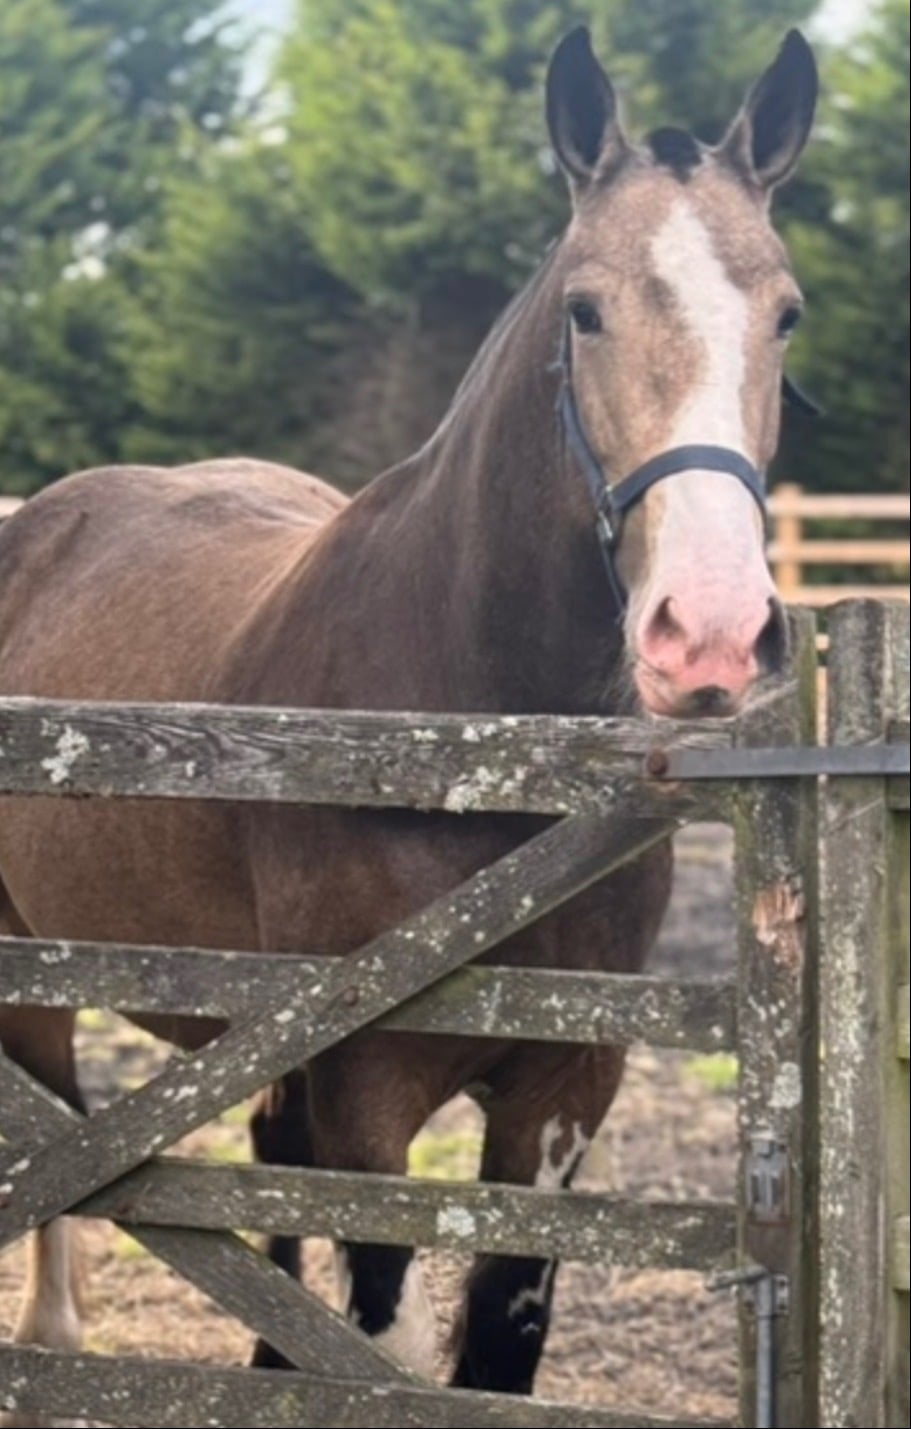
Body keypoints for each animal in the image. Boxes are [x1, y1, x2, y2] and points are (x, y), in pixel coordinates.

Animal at [0, 25, 816, 1423]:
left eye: (784, 313)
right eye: (583, 308)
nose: (707, 629)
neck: (474, 753)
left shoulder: (559, 1095)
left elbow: (494, 1342)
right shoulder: (366, 1089)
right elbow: (376, 1327)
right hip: (36, 970)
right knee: (54, 1120)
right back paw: (52, 1334)